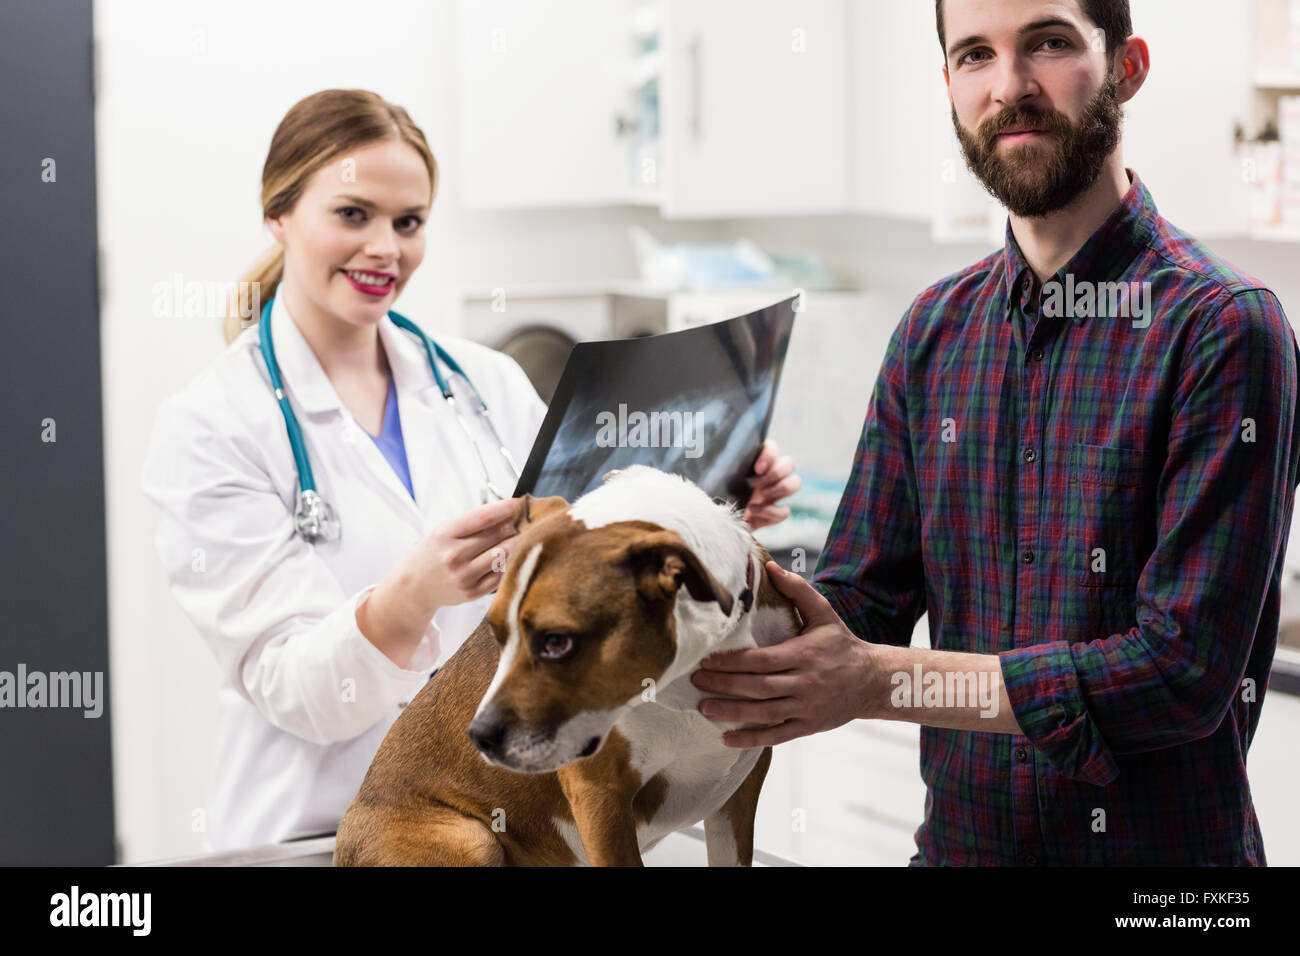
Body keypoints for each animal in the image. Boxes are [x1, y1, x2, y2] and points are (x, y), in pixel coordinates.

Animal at [332, 463, 800, 868]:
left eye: (556, 642)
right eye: (497, 633)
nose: (479, 736)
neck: (683, 682)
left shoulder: (739, 794)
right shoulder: (601, 797)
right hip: (472, 838)